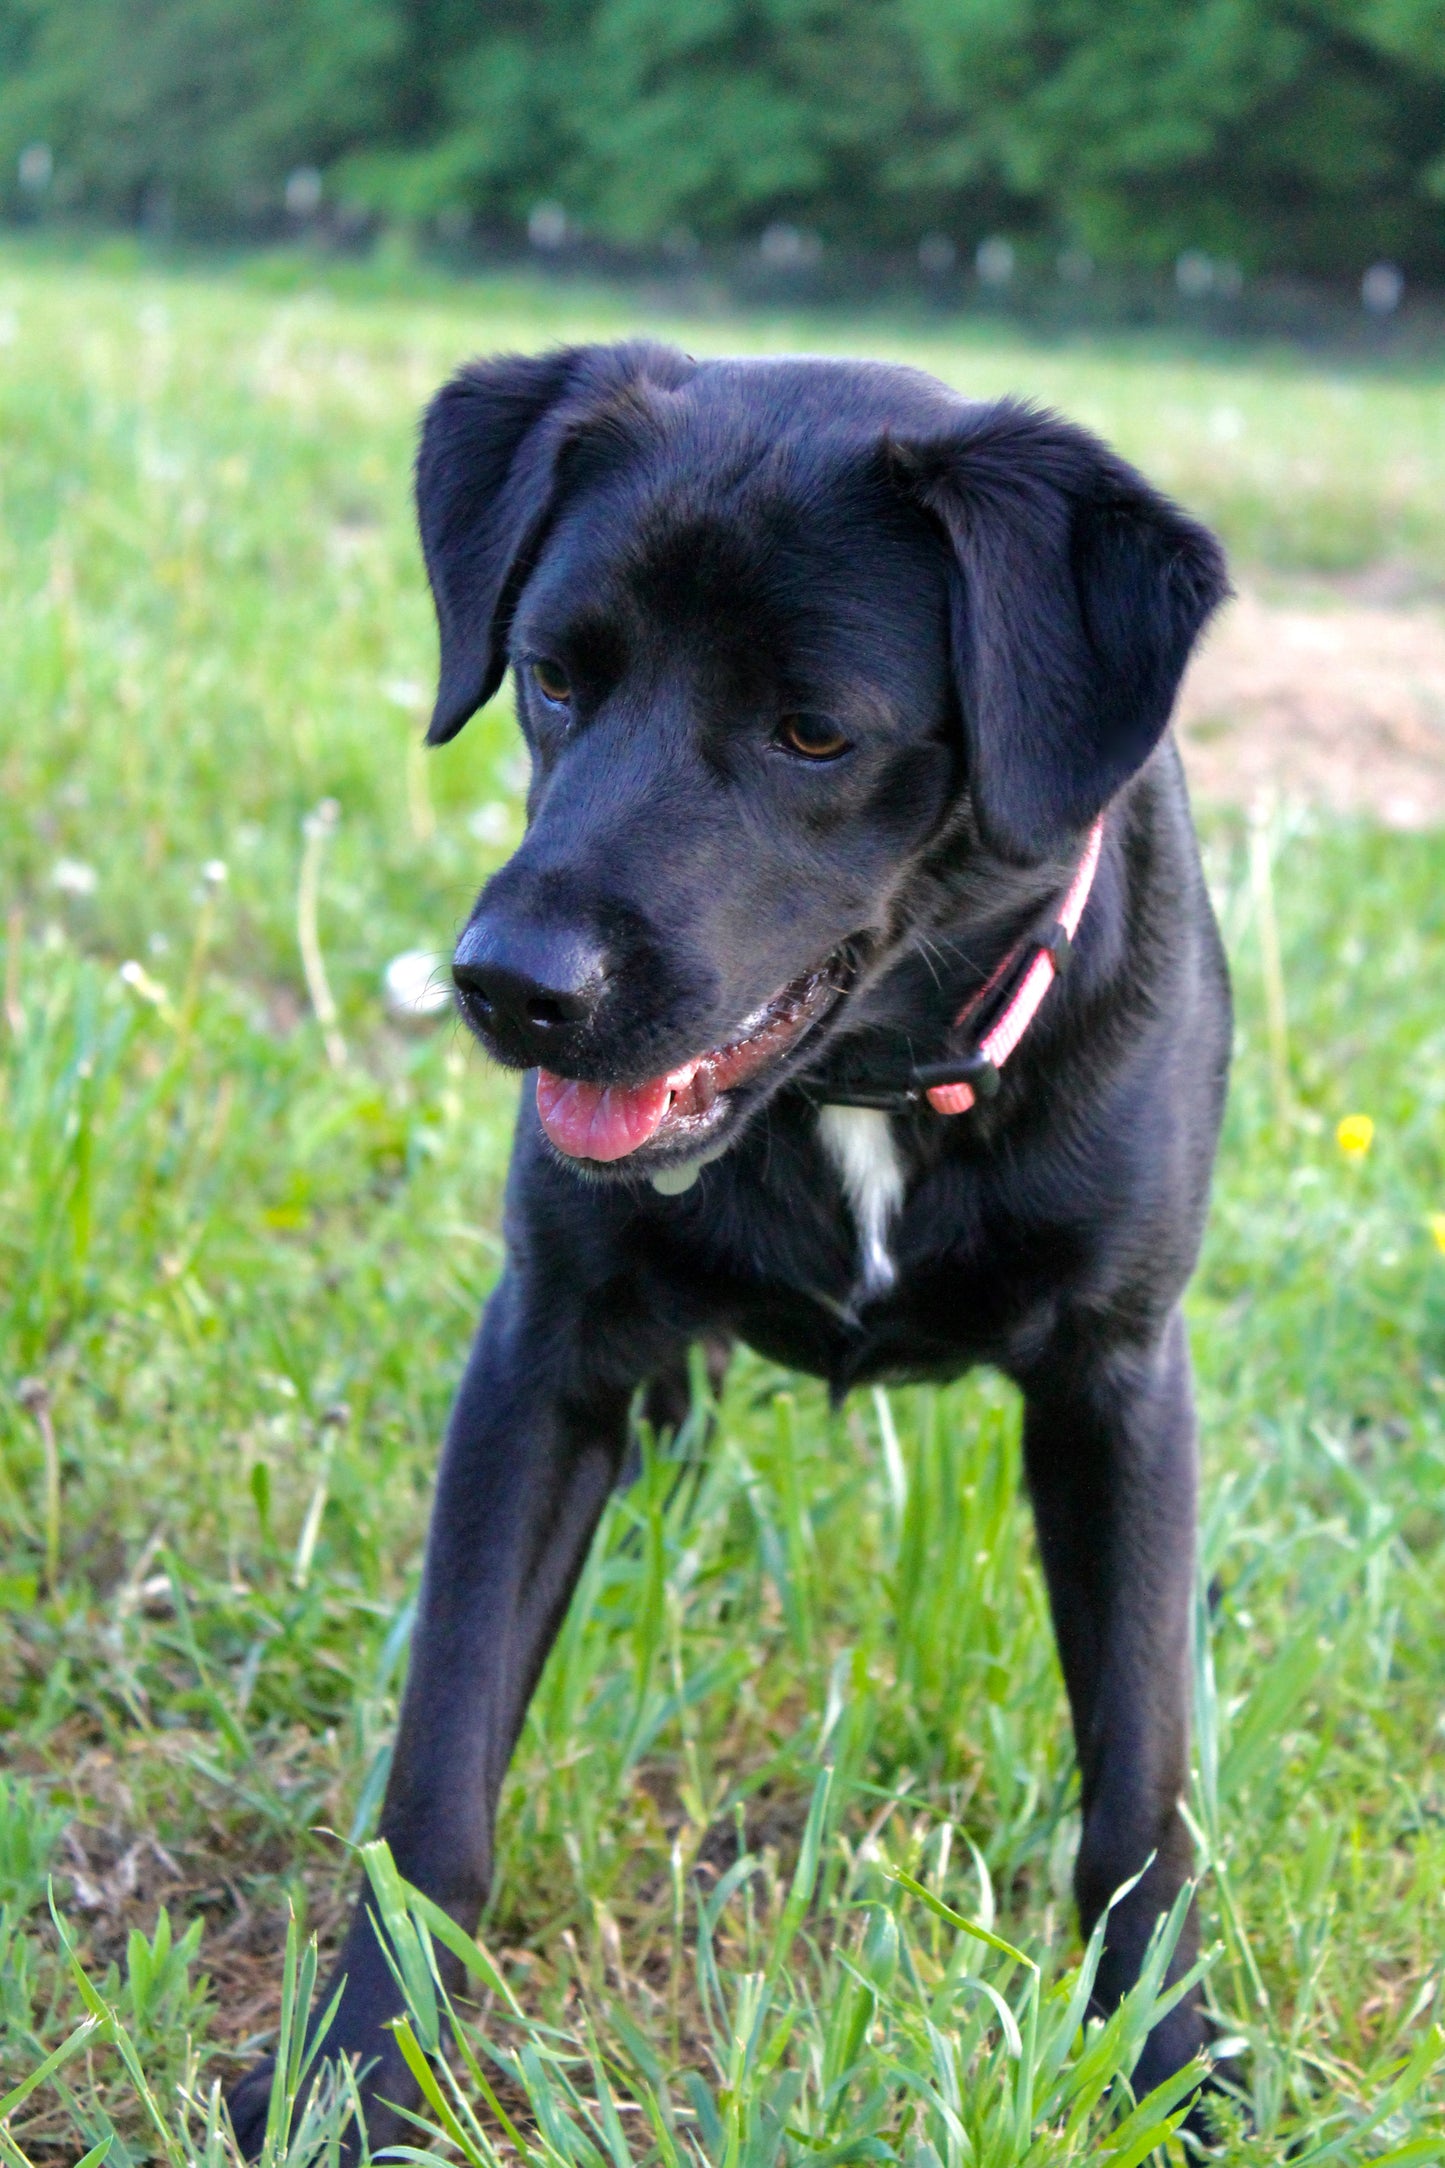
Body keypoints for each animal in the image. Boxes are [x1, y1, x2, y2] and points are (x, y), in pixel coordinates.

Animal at [231, 342, 1230, 2150]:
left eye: (815, 731)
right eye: (554, 679)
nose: (509, 985)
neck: (864, 1086)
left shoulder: (1118, 1382)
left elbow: (1139, 1791)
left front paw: (1167, 2069)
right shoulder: (544, 1353)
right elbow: (437, 1784)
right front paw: (359, 2069)